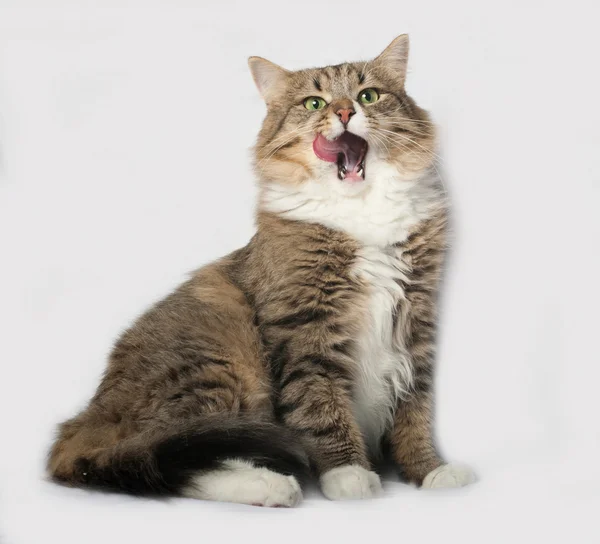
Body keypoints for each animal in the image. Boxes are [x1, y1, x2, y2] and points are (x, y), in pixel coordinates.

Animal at [47, 36, 476, 508]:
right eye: (314, 103)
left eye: (367, 96)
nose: (344, 111)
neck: (363, 210)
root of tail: (84, 420)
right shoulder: (306, 327)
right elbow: (321, 404)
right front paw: (349, 473)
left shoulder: (415, 317)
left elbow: (414, 411)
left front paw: (429, 470)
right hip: (224, 360)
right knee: (171, 456)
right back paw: (269, 485)